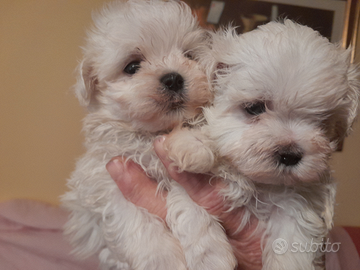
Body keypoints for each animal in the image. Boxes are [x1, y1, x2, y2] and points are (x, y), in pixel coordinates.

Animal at [62, 0, 236, 270]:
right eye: (132, 67)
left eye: (189, 56)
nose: (173, 78)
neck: (151, 134)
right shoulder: (107, 181)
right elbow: (134, 220)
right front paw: (163, 259)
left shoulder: (185, 179)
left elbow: (192, 207)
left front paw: (211, 256)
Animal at [167, 20, 360, 268]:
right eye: (254, 108)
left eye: (321, 120)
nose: (289, 155)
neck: (256, 182)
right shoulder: (187, 182)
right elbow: (192, 212)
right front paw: (195, 144)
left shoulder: (296, 203)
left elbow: (292, 243)